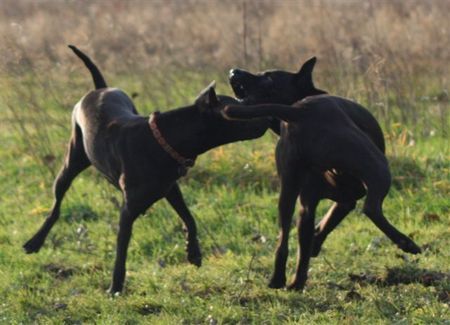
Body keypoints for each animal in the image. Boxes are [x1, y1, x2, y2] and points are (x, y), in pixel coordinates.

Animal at [22, 45, 268, 292]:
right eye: (236, 110)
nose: (267, 119)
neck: (168, 138)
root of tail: (101, 88)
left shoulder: (170, 188)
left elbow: (189, 218)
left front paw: (193, 253)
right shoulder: (128, 209)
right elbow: (121, 250)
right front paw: (115, 287)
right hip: (72, 160)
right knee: (56, 205)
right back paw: (35, 241)